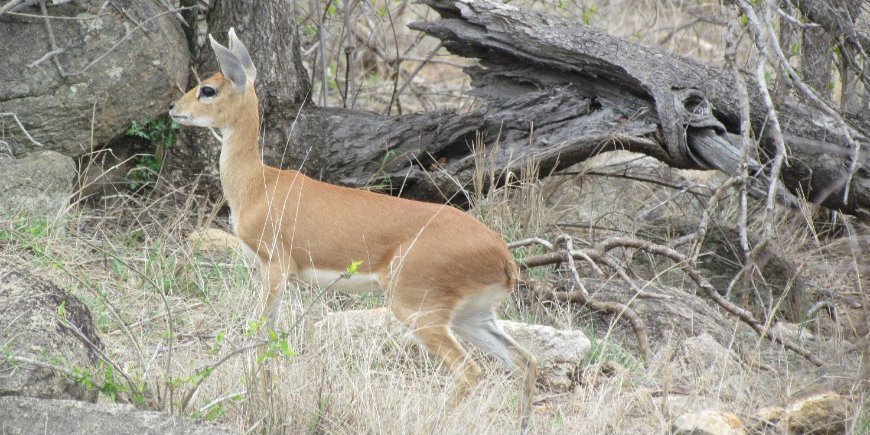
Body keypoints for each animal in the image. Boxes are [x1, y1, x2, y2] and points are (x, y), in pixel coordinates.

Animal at [169, 29, 540, 430]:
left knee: (470, 370)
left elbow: (257, 331)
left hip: (417, 310)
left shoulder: (275, 267)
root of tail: (504, 258)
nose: (174, 108)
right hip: (473, 316)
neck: (258, 186)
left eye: (208, 88)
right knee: (525, 361)